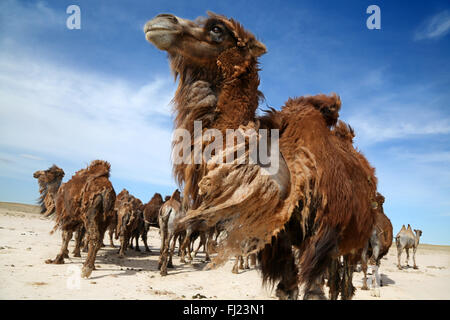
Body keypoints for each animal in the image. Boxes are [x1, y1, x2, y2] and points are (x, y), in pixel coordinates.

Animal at [144, 11, 376, 298]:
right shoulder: (278, 239)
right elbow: (286, 288)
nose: (161, 20)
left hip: (354, 241)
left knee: (344, 282)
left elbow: (312, 290)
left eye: (217, 28)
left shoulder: (323, 238)